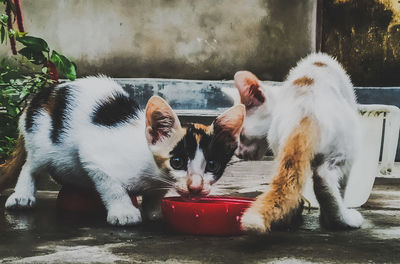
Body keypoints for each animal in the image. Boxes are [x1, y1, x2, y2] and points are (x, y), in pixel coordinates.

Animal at [0, 76, 245, 225]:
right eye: (177, 162)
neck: (152, 172)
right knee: (31, 165)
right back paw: (22, 195)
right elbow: (111, 186)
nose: (195, 187)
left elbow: (156, 194)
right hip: (42, 140)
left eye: (212, 165)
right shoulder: (93, 156)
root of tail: (39, 95)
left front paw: (154, 210)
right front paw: (124, 212)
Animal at [234, 53, 362, 233]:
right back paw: (341, 220)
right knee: (324, 179)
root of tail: (305, 113)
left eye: (241, 135)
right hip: (345, 148)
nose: (237, 153)